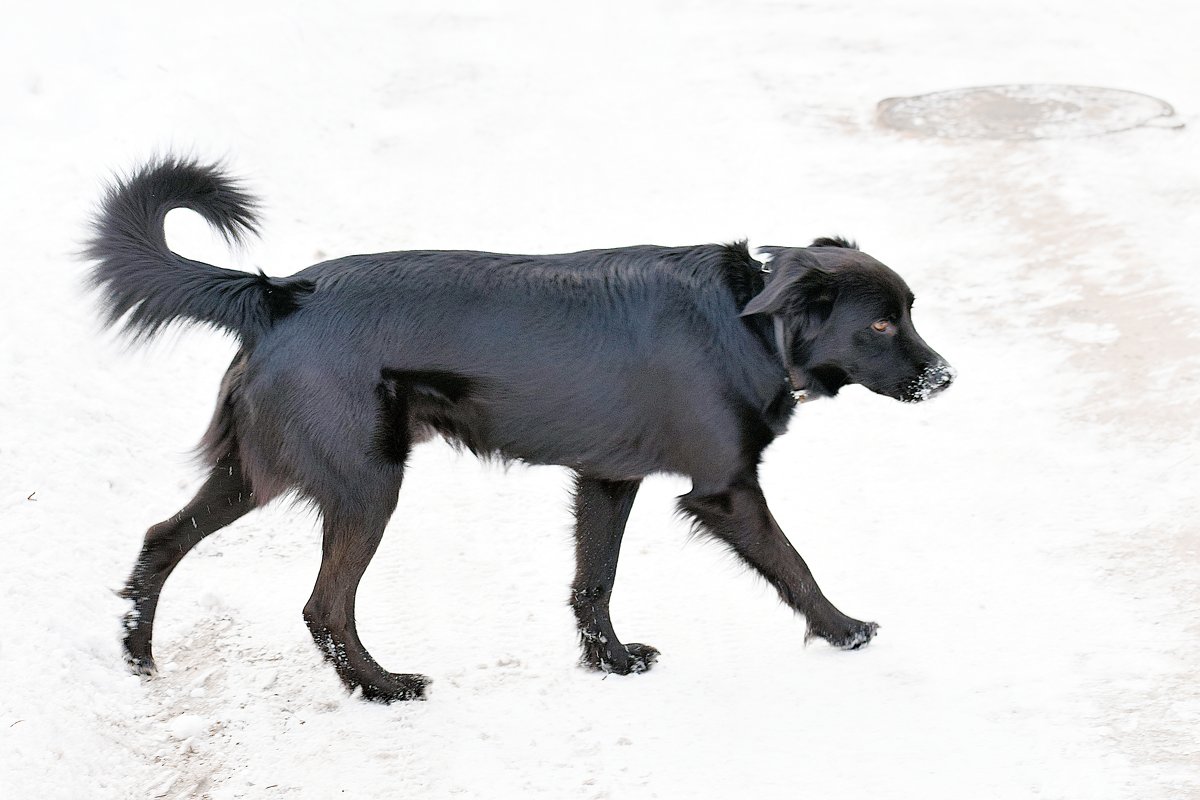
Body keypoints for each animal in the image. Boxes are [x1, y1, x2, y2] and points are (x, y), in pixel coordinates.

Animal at [84, 155, 950, 700]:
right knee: (323, 607)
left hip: (257, 471)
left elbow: (593, 582)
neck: (752, 322)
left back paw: (138, 657)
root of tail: (278, 293)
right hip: (366, 484)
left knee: (162, 538)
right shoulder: (725, 490)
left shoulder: (608, 479)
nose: (946, 377)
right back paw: (381, 688)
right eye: (880, 324)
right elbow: (795, 566)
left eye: (908, 312)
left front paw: (611, 663)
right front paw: (844, 632)